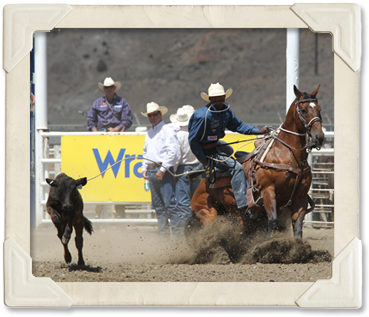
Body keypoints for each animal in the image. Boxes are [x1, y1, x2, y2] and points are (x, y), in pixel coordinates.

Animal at [188, 85, 324, 241]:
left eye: (319, 109)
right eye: (303, 110)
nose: (319, 137)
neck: (287, 155)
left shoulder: (300, 199)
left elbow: (297, 230)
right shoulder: (268, 192)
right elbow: (273, 222)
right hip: (208, 214)